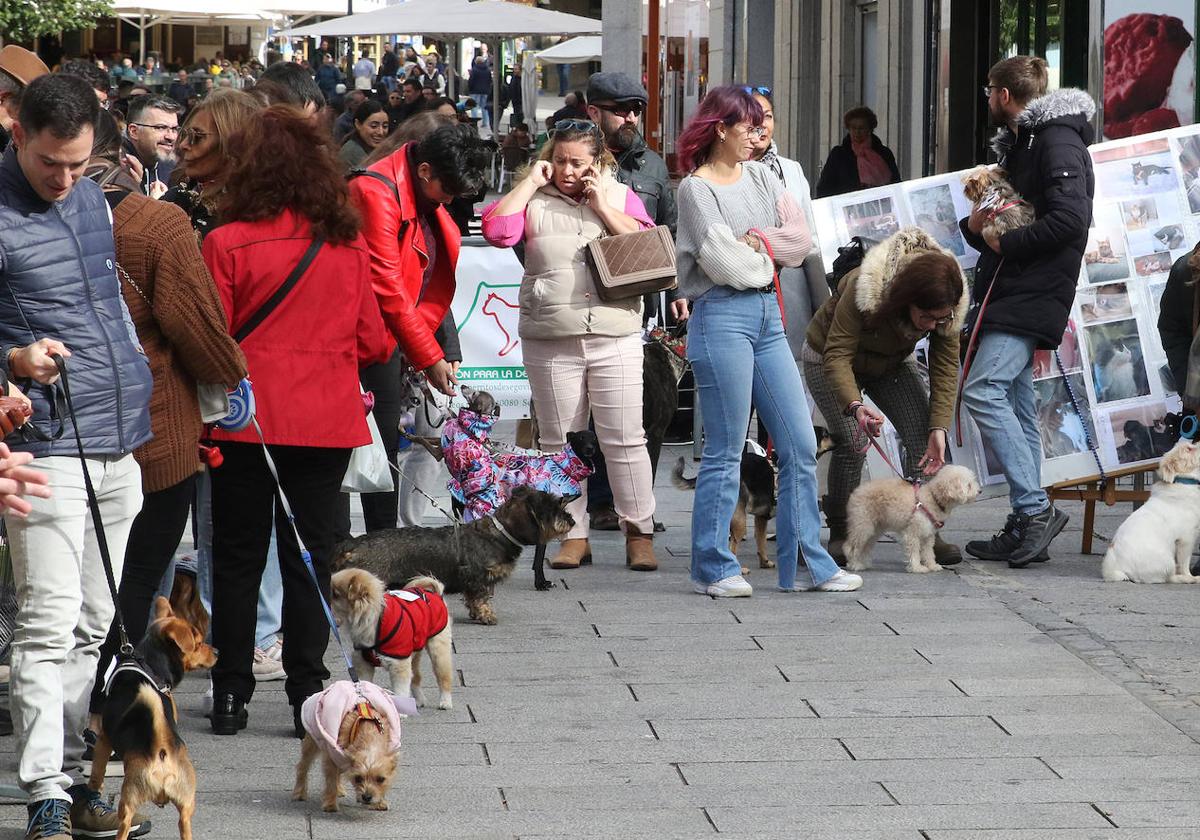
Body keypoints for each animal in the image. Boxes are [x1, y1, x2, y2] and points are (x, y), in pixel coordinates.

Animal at [328, 484, 571, 624]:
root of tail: (352, 543)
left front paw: (475, 613)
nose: (571, 520)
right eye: (549, 509)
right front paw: (486, 615)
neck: (498, 533)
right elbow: (481, 598)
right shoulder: (478, 578)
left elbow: (472, 600)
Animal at [844, 463, 974, 573]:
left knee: (865, 547)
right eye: (969, 485)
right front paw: (917, 568)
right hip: (863, 526)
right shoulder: (912, 533)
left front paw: (932, 565)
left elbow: (928, 552)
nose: (978, 491)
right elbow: (914, 552)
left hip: (875, 530)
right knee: (851, 547)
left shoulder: (928, 535)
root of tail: (856, 491)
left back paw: (863, 563)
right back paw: (854, 564)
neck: (932, 497)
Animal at [1099, 439, 1200, 583]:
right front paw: (1190, 576)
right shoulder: (1186, 539)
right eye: (1189, 449)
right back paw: (1189, 579)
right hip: (1167, 560)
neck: (1183, 482)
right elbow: (1184, 564)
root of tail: (1117, 568)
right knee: (1169, 577)